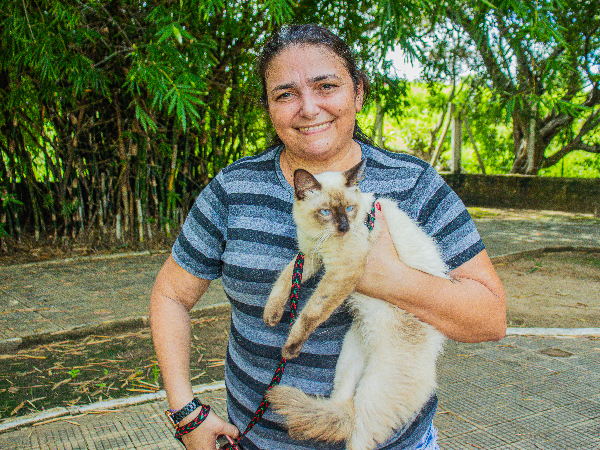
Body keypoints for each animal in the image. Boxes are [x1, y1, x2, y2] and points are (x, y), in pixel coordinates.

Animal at [260, 161, 448, 450]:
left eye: (349, 209)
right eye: (325, 212)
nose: (344, 227)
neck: (320, 237)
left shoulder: (342, 269)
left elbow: (310, 313)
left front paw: (290, 349)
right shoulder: (311, 255)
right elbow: (283, 281)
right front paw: (272, 315)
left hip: (374, 395)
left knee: (357, 431)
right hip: (350, 355)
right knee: (341, 411)